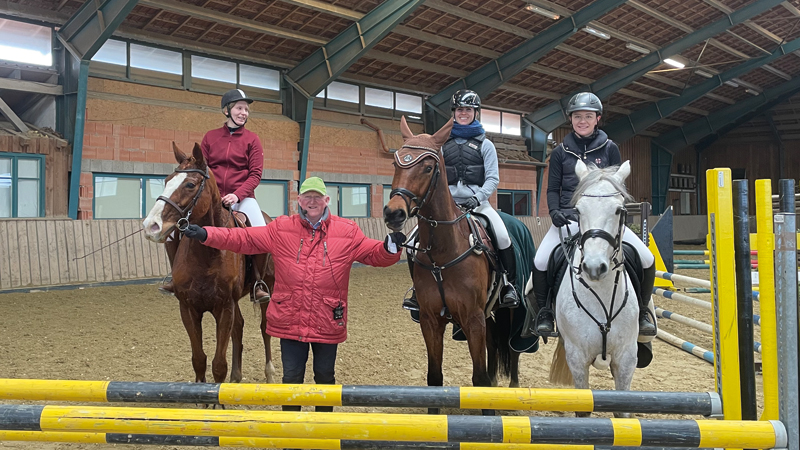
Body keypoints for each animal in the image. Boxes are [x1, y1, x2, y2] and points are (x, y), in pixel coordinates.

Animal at [142, 142, 277, 386]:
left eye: (190, 184)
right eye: (167, 180)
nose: (151, 226)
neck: (207, 253)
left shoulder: (224, 307)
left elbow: (218, 364)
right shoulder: (188, 308)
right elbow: (199, 359)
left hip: (267, 288)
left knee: (264, 329)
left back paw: (270, 374)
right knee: (239, 327)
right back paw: (236, 376)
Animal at [548, 160, 638, 418]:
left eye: (618, 210)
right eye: (578, 211)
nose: (594, 267)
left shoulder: (626, 358)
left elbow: (623, 413)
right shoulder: (577, 357)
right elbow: (583, 412)